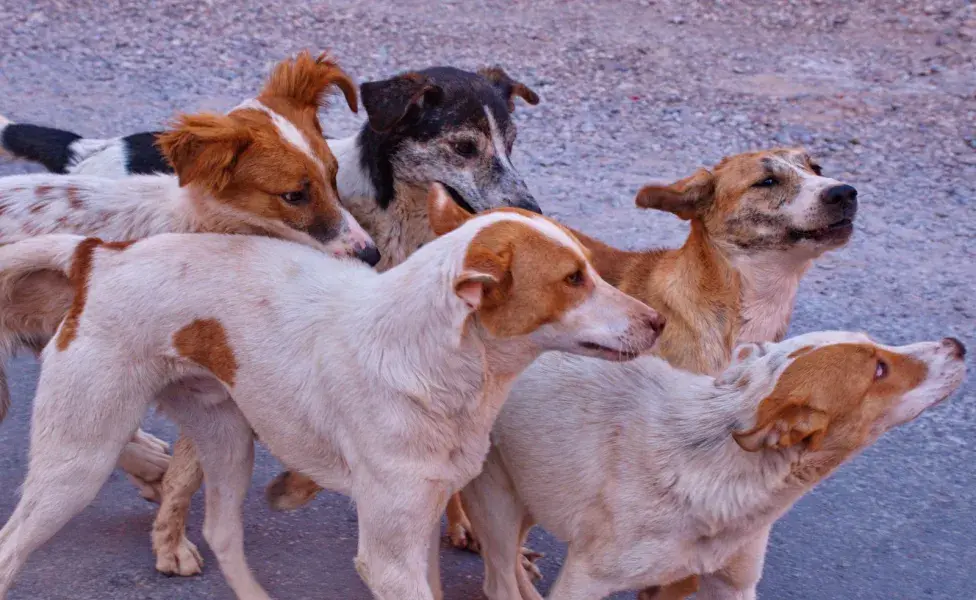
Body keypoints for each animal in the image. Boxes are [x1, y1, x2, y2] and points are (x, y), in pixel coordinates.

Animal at [0, 185, 664, 600]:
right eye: (572, 279)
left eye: (591, 267)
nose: (657, 322)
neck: (432, 364)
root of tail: (98, 256)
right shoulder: (388, 557)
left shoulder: (420, 523)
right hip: (77, 463)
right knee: (11, 547)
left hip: (228, 441)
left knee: (222, 535)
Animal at [462, 332, 964, 600]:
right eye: (879, 369)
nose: (957, 344)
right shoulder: (585, 581)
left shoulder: (733, 585)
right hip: (496, 502)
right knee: (497, 579)